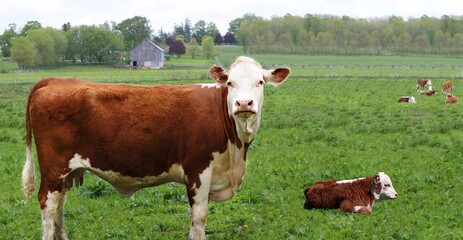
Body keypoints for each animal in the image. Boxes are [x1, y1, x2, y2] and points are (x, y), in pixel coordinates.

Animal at [22, 56, 290, 240]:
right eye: (231, 83)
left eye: (260, 82)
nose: (244, 103)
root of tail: (55, 81)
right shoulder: (198, 171)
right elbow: (199, 217)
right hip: (54, 168)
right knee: (48, 205)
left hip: (65, 172)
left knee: (59, 206)